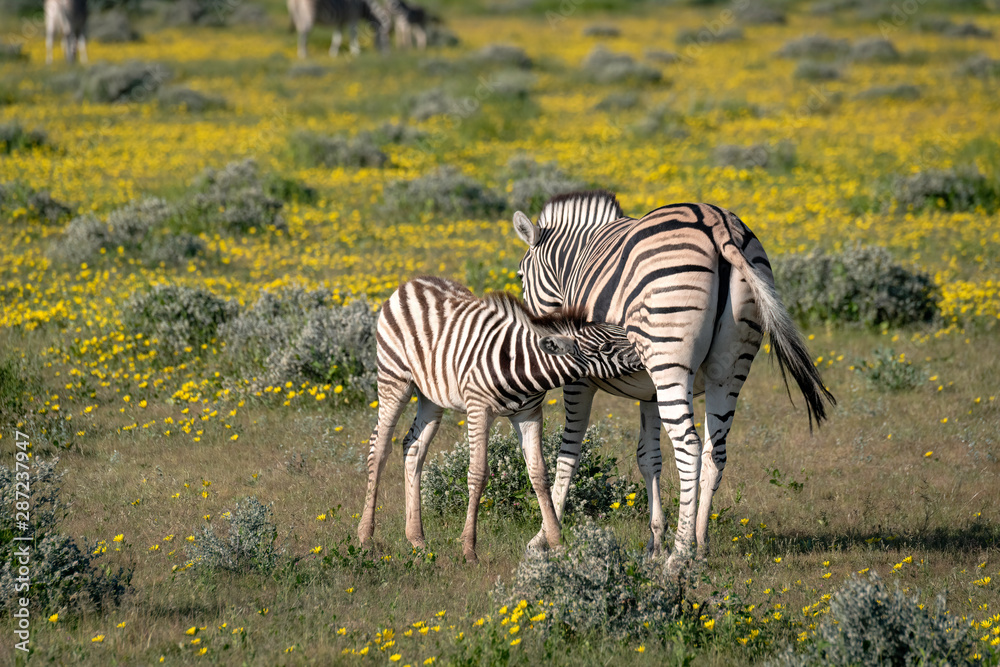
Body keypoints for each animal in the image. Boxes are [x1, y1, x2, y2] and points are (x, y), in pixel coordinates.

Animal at [357, 275, 643, 564]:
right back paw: (365, 537)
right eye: (605, 347)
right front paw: (469, 549)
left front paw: (555, 543)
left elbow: (539, 474)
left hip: (431, 395)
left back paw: (417, 538)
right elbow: (478, 473)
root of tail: (413, 282)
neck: (521, 365)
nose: (643, 356)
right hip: (394, 378)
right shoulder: (478, 409)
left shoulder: (529, 414)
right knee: (379, 447)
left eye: (622, 333)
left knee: (413, 447)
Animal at [512, 191, 835, 575]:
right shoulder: (649, 391)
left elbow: (568, 453)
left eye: (519, 276)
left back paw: (680, 554)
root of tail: (717, 224)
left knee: (690, 447)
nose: (540, 336)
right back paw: (699, 545)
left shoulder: (582, 377)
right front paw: (654, 542)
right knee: (715, 452)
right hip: (728, 369)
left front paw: (543, 539)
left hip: (669, 360)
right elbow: (648, 457)